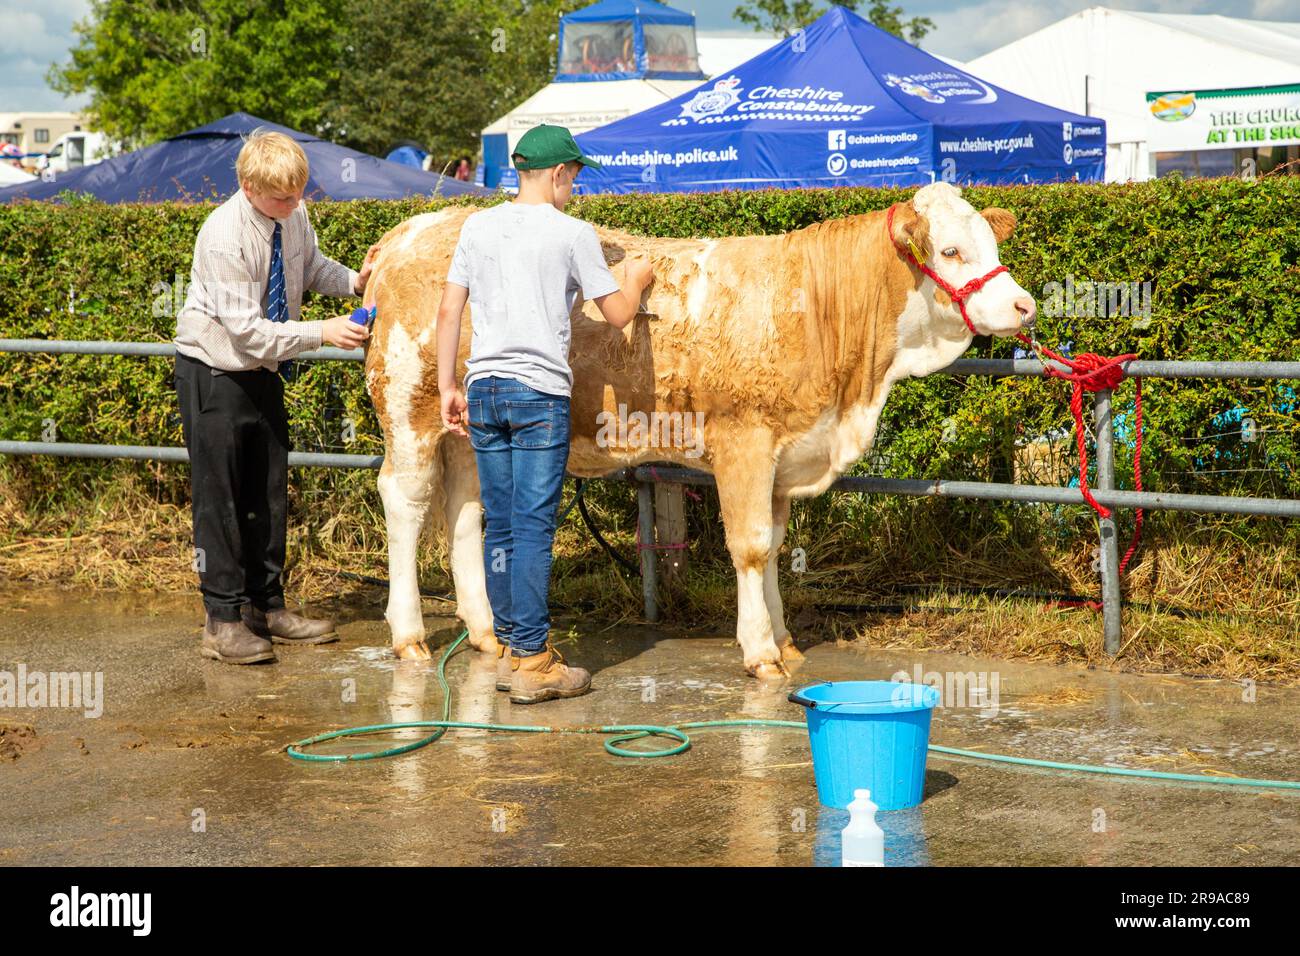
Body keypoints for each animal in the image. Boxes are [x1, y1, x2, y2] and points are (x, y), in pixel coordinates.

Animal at [361, 182, 1036, 679]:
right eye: (950, 252)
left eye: (989, 244)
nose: (1025, 305)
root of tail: (411, 230)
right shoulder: (745, 443)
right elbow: (752, 546)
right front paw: (760, 653)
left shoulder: (785, 457)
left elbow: (774, 544)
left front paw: (784, 640)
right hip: (408, 408)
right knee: (405, 500)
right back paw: (410, 636)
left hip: (464, 425)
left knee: (465, 510)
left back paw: (484, 635)